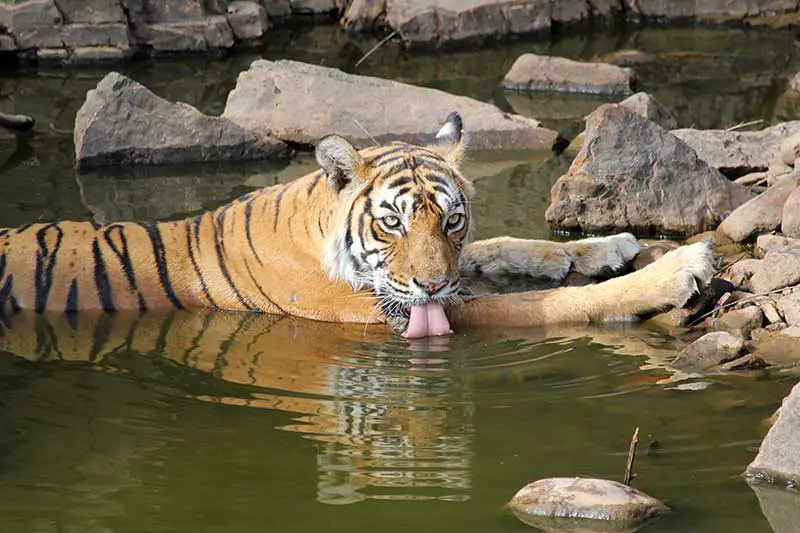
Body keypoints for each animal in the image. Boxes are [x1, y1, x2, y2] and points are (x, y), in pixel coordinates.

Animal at [0, 112, 714, 338]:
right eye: (391, 224)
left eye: (452, 220)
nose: (431, 286)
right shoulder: (390, 314)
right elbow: (547, 305)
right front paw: (678, 267)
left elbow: (500, 248)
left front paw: (607, 243)